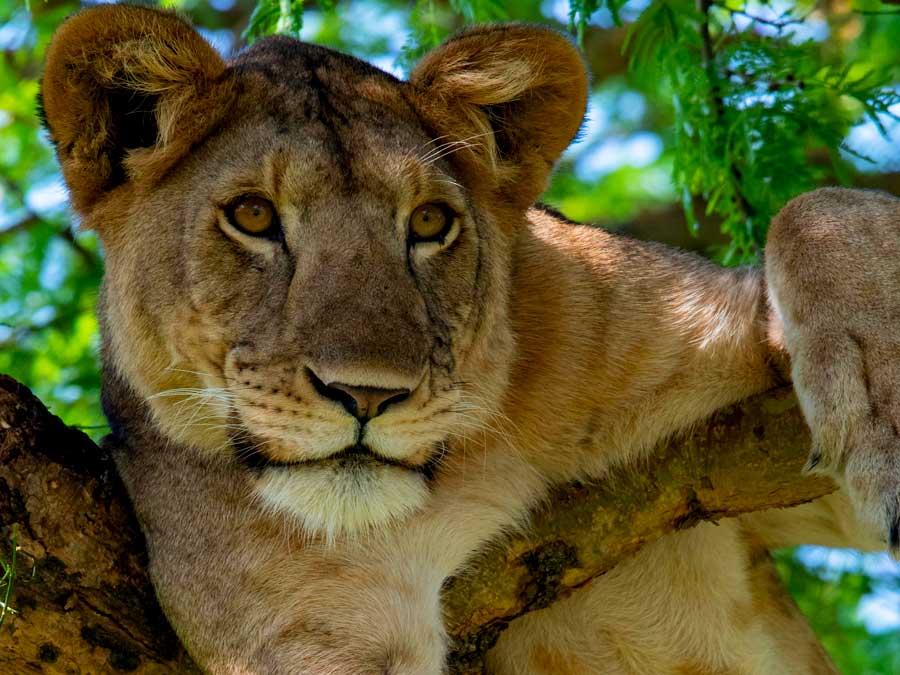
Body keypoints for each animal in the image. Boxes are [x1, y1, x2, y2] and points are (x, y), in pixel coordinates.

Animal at [42, 6, 900, 675]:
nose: (367, 394)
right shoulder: (313, 629)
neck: (469, 470)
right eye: (252, 215)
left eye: (429, 222)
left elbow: (816, 210)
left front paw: (885, 421)